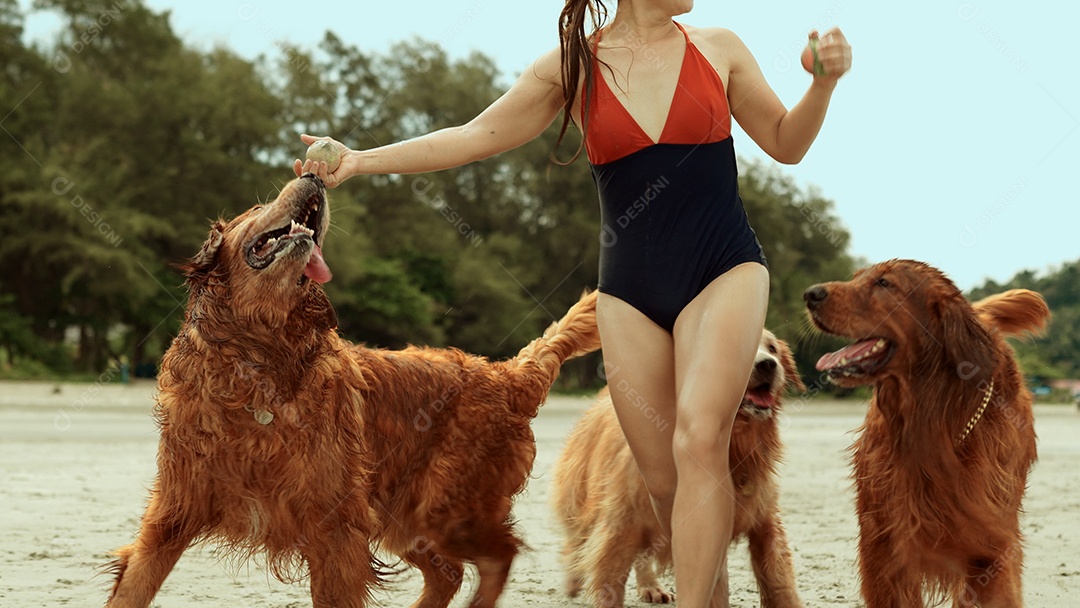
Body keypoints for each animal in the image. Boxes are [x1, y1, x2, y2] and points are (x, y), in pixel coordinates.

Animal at [105, 172, 604, 608]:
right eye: (257, 209)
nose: (315, 178)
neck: (256, 361)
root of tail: (507, 374)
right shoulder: (171, 513)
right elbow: (133, 588)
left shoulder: (335, 529)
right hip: (404, 517)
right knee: (450, 573)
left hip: (446, 508)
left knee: (500, 556)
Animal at [552, 330, 807, 604]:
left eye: (773, 348)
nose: (768, 364)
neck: (734, 448)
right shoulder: (620, 525)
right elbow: (608, 585)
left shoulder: (765, 522)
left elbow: (780, 582)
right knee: (576, 536)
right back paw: (574, 579)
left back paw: (650, 586)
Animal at [807, 260, 1049, 608]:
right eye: (856, 277)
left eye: (884, 283)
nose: (810, 294)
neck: (932, 423)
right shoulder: (885, 549)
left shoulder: (992, 548)